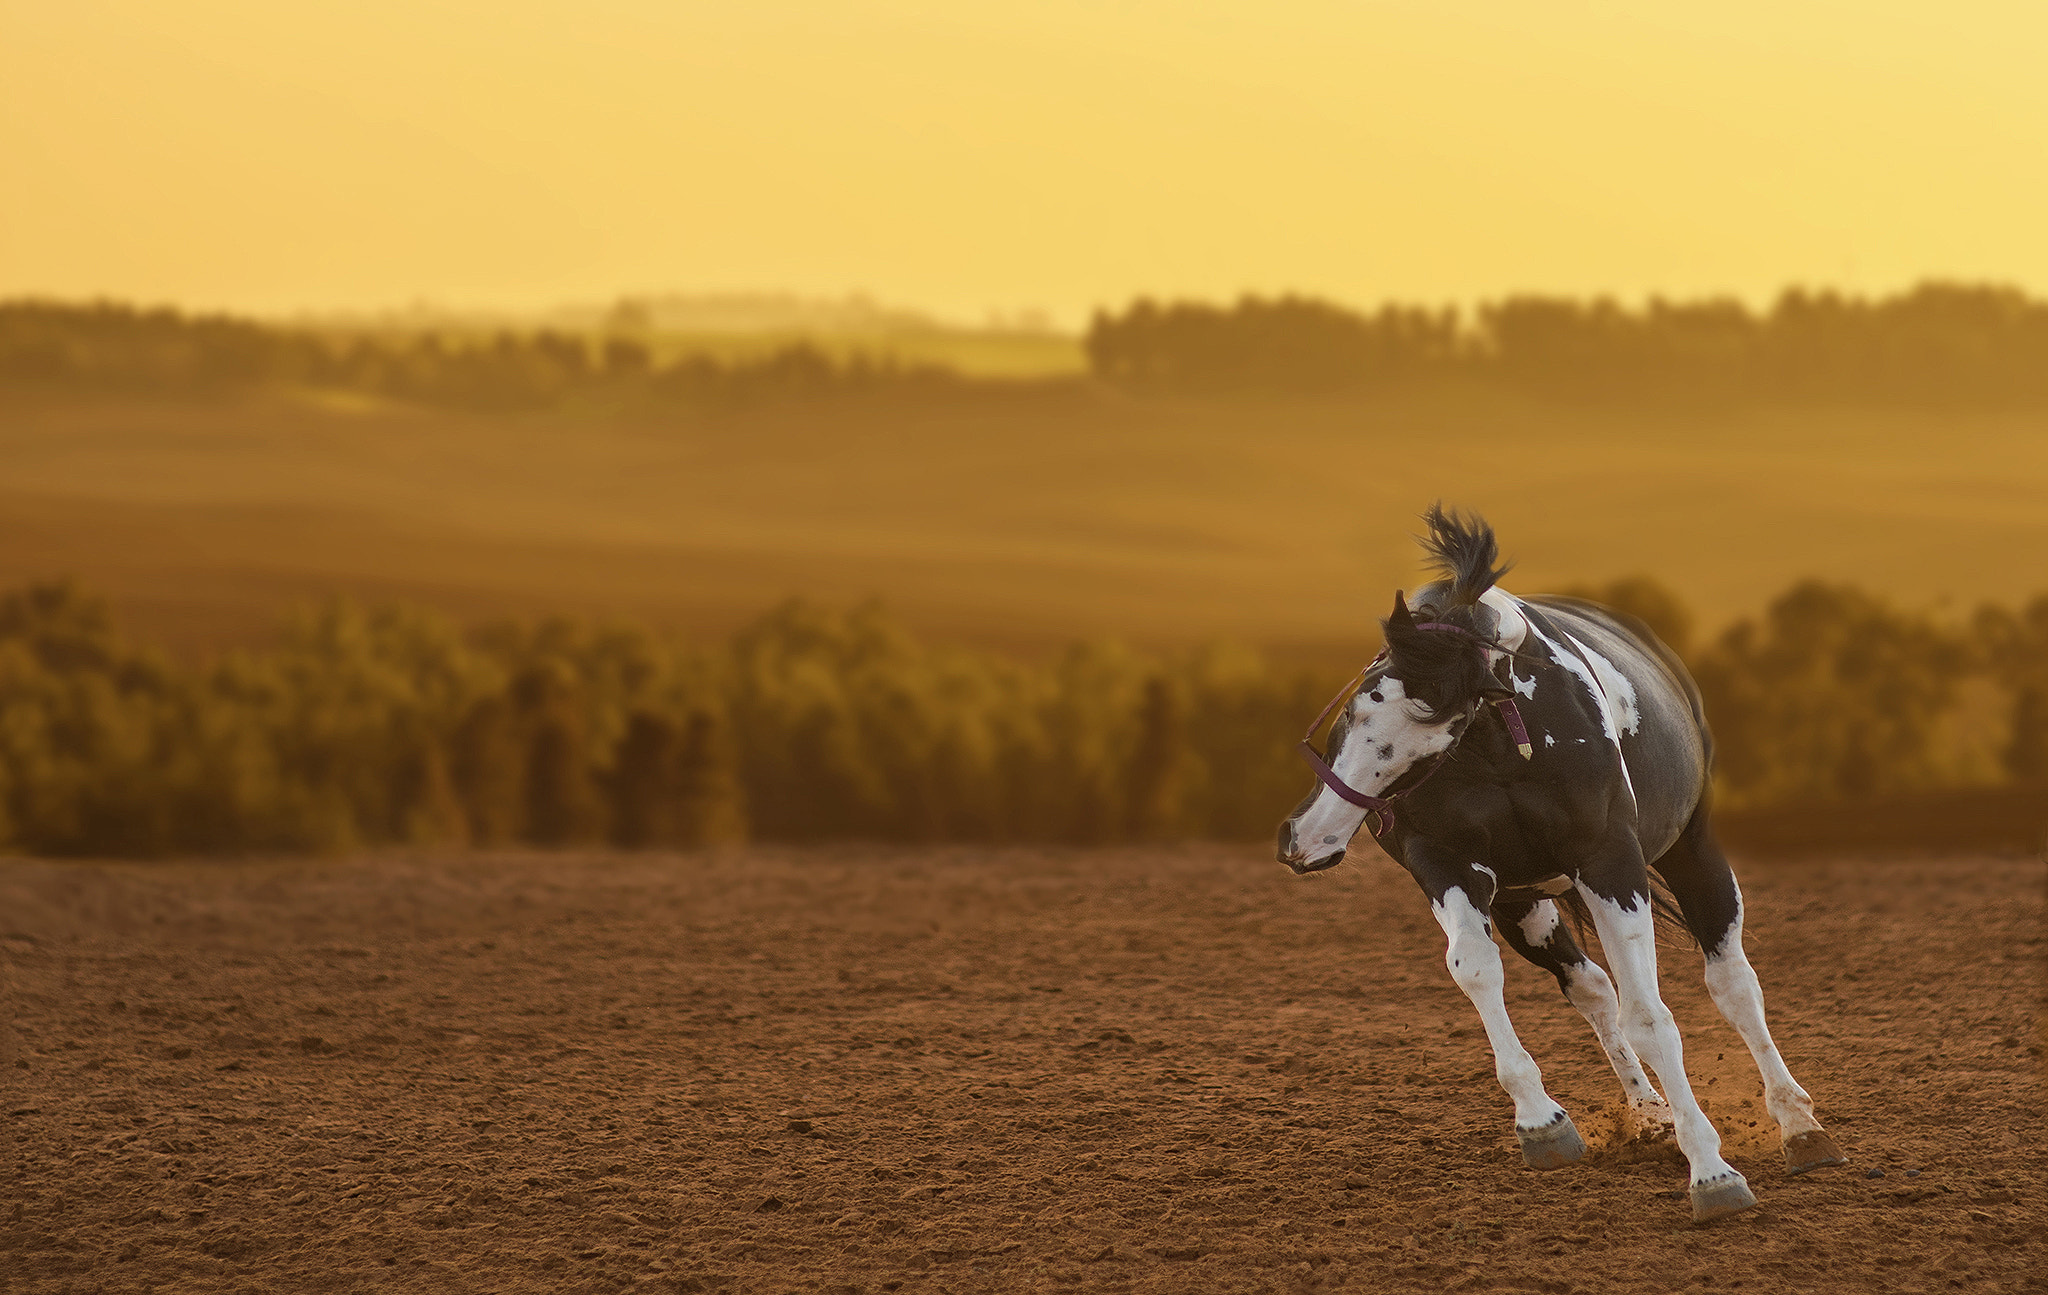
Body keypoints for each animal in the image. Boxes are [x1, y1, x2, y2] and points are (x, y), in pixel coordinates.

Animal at [1269, 508, 1851, 1221]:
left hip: (1691, 853)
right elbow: (1477, 971)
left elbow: (1651, 1016)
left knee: (1734, 985)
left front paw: (1712, 1172)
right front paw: (1541, 1122)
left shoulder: (1609, 863)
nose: (1304, 838)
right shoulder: (1448, 866)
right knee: (1592, 986)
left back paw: (1799, 1126)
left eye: (1438, 732)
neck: (1500, 745)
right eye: (1358, 706)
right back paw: (1650, 1113)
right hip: (1524, 902)